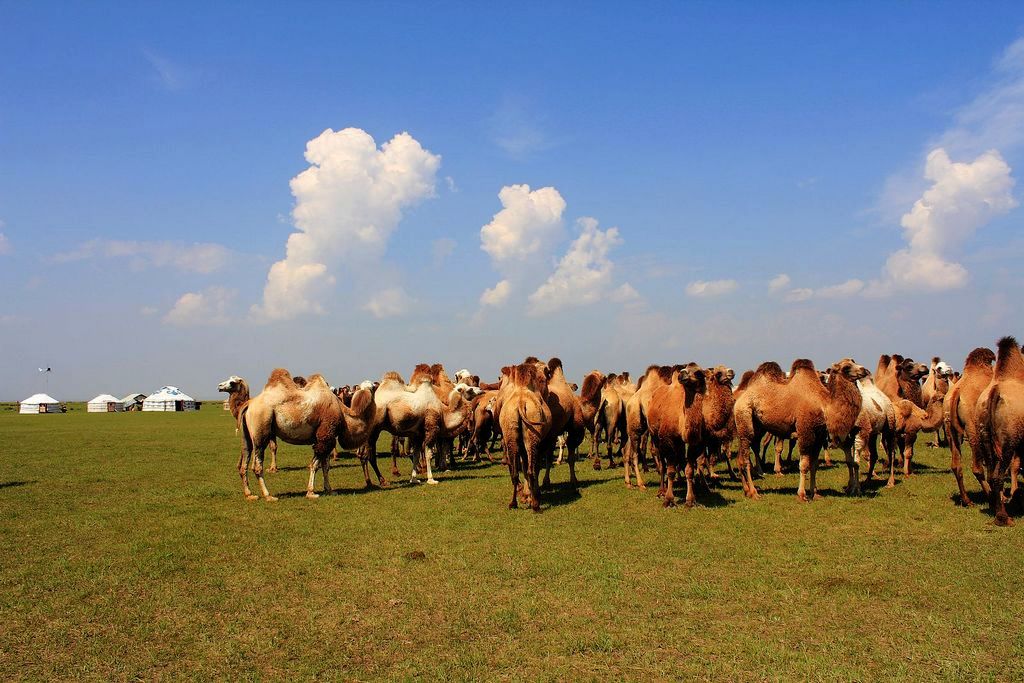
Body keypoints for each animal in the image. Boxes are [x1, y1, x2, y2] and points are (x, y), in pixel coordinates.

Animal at [942, 350, 991, 505]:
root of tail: (956, 393)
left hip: (949, 426)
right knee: (977, 467)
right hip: (972, 426)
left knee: (956, 465)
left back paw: (967, 500)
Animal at [974, 339, 1024, 528]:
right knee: (997, 475)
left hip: (984, 434)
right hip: (1009, 440)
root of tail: (995, 392)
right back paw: (1003, 517)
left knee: (991, 474)